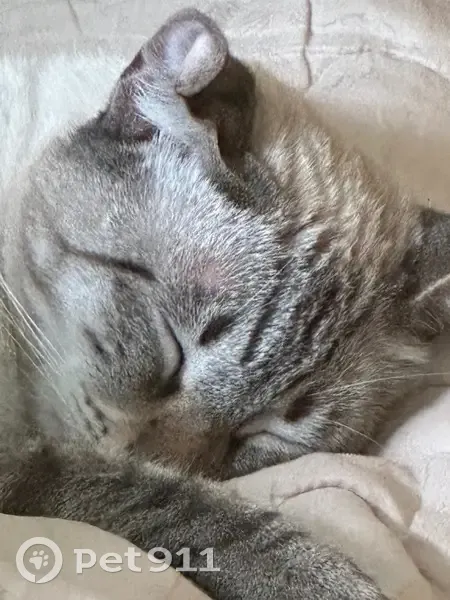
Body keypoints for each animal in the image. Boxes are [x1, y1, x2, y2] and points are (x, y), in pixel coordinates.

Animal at [1, 6, 449, 599]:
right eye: (172, 348)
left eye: (265, 430)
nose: (156, 461)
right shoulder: (28, 463)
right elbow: (177, 507)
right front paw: (322, 580)